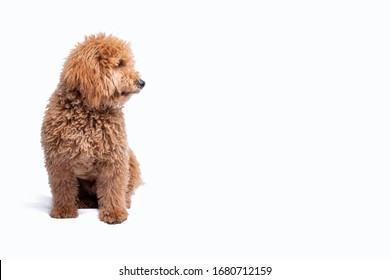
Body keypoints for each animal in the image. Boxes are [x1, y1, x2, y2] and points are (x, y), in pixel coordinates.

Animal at [41, 34, 145, 224]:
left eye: (128, 63)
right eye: (119, 64)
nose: (142, 82)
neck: (89, 112)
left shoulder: (114, 158)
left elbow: (113, 187)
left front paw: (114, 212)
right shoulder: (58, 160)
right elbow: (63, 187)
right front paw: (64, 210)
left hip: (131, 160)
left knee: (124, 189)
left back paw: (124, 202)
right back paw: (83, 201)